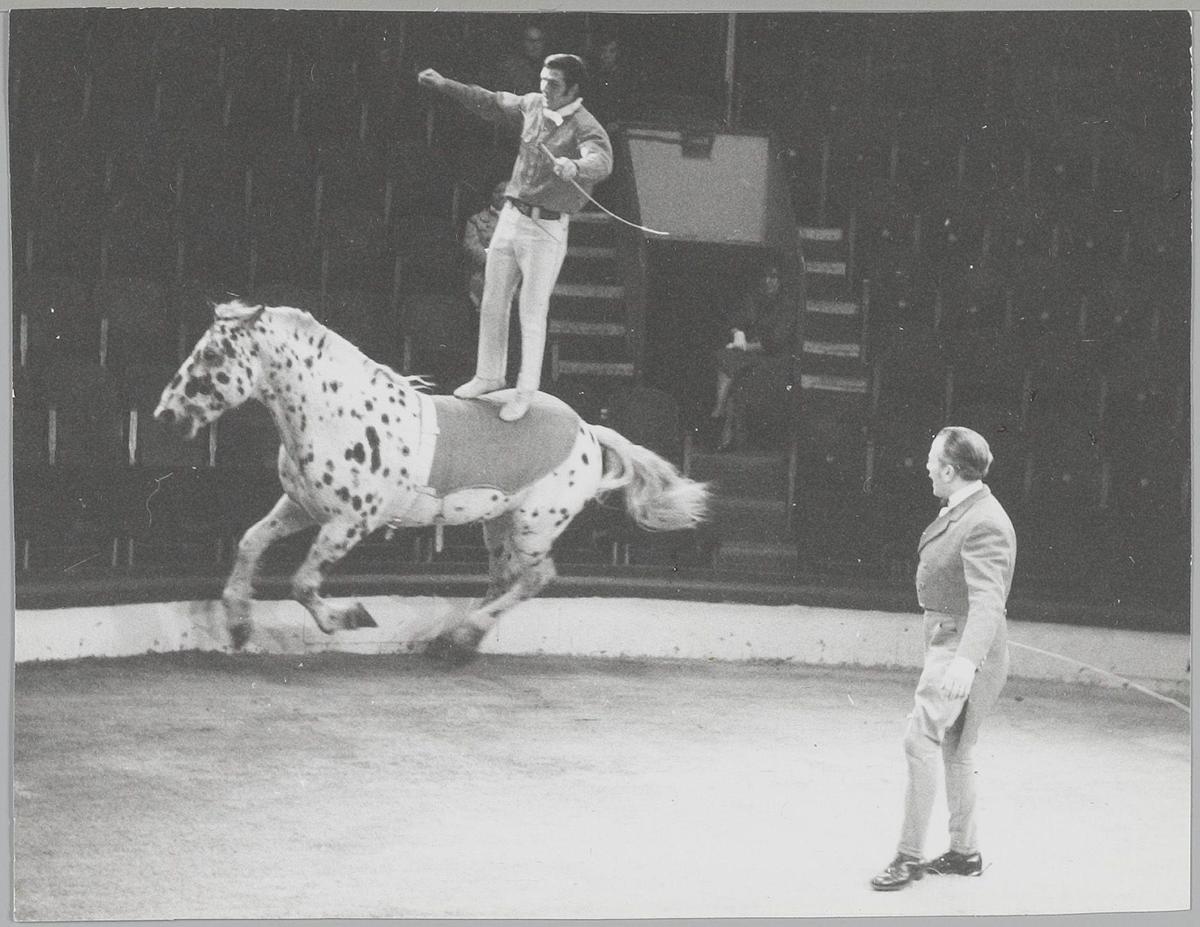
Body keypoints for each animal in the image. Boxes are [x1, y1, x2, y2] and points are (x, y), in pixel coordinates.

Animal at [155, 300, 709, 662]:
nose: (166, 416)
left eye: (211, 356)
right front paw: (238, 626)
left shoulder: (349, 523)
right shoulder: (302, 507)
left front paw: (351, 617)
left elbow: (303, 583)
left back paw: (460, 640)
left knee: (535, 578)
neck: (335, 412)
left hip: (534, 525)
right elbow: (251, 543)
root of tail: (590, 431)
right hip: (497, 523)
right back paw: (454, 640)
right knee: (504, 579)